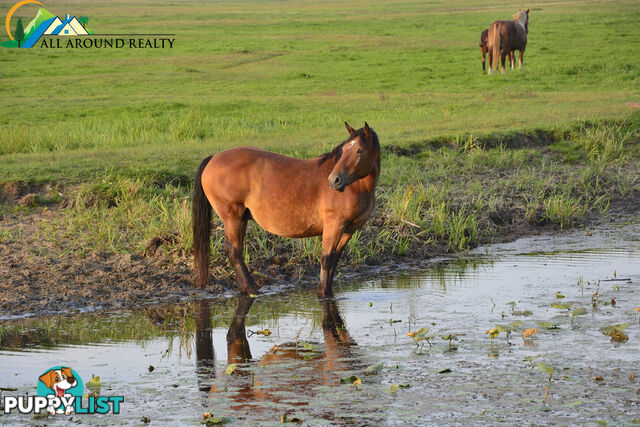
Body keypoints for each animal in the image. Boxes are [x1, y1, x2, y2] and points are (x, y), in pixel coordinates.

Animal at [190, 123, 380, 298]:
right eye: (344, 150)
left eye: (359, 150)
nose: (334, 180)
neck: (356, 186)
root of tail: (213, 158)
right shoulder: (333, 226)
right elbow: (326, 259)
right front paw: (322, 293)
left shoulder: (348, 230)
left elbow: (335, 259)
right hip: (232, 218)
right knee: (233, 251)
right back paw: (253, 290)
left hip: (241, 219)